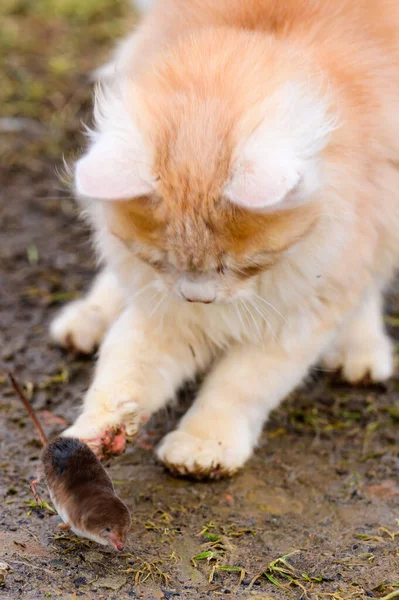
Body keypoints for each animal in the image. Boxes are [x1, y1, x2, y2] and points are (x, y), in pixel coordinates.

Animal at [51, 0, 398, 478]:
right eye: (160, 262)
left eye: (240, 265)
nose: (199, 298)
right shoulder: (162, 305)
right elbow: (128, 366)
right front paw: (99, 428)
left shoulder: (301, 312)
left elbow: (239, 385)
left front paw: (204, 445)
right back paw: (88, 319)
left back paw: (360, 350)